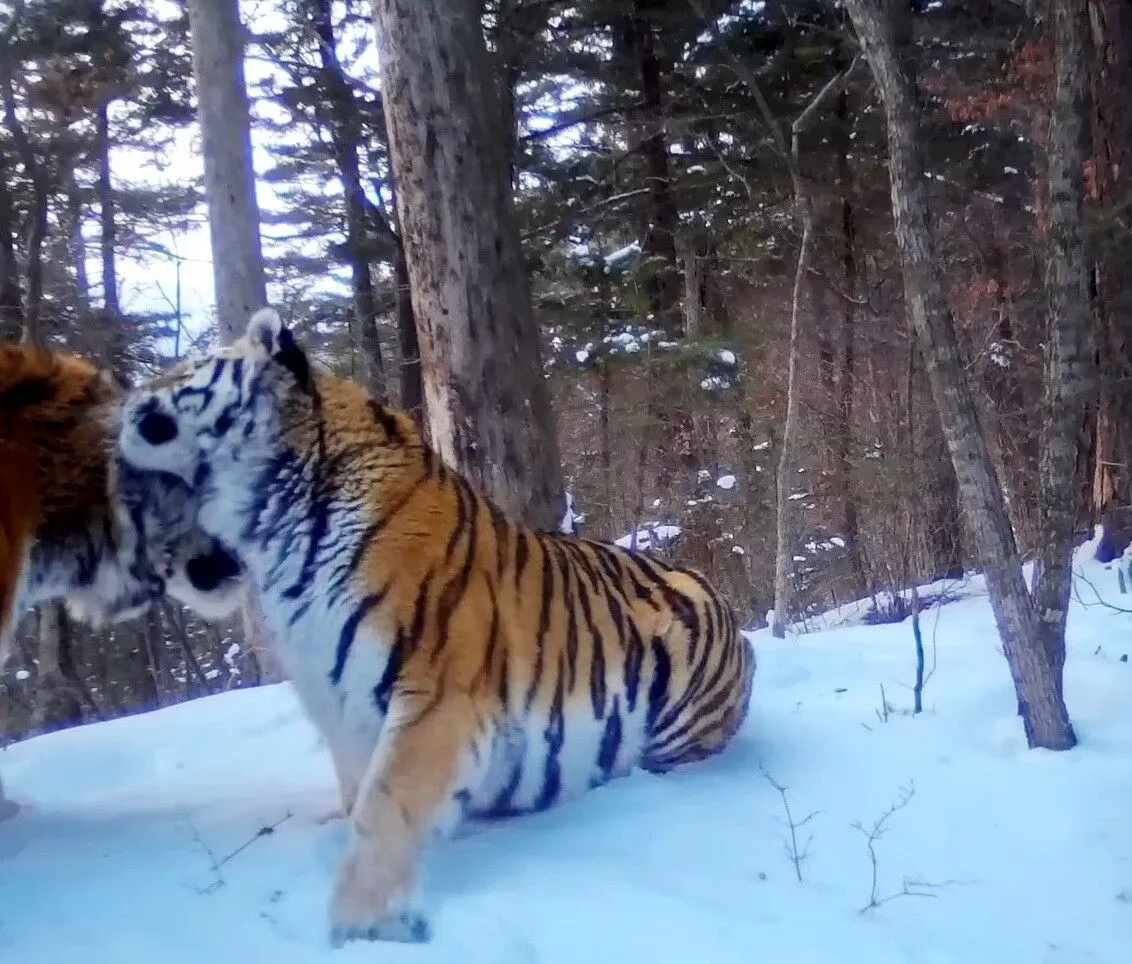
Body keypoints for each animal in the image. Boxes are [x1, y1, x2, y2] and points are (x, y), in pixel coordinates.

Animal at [114, 310, 756, 950]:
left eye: (188, 369)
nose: (121, 399)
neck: (273, 537)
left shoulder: (437, 699)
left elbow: (383, 808)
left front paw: (362, 923)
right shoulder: (335, 699)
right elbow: (358, 789)